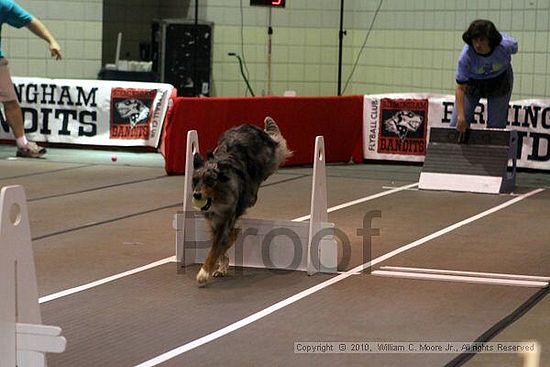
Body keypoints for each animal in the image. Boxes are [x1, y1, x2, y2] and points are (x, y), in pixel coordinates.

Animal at [193, 118, 292, 288]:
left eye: (210, 181)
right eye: (195, 180)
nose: (197, 195)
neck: (219, 198)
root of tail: (249, 126)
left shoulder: (226, 219)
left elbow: (216, 248)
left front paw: (203, 274)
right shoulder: (214, 221)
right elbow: (219, 246)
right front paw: (223, 265)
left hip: (267, 163)